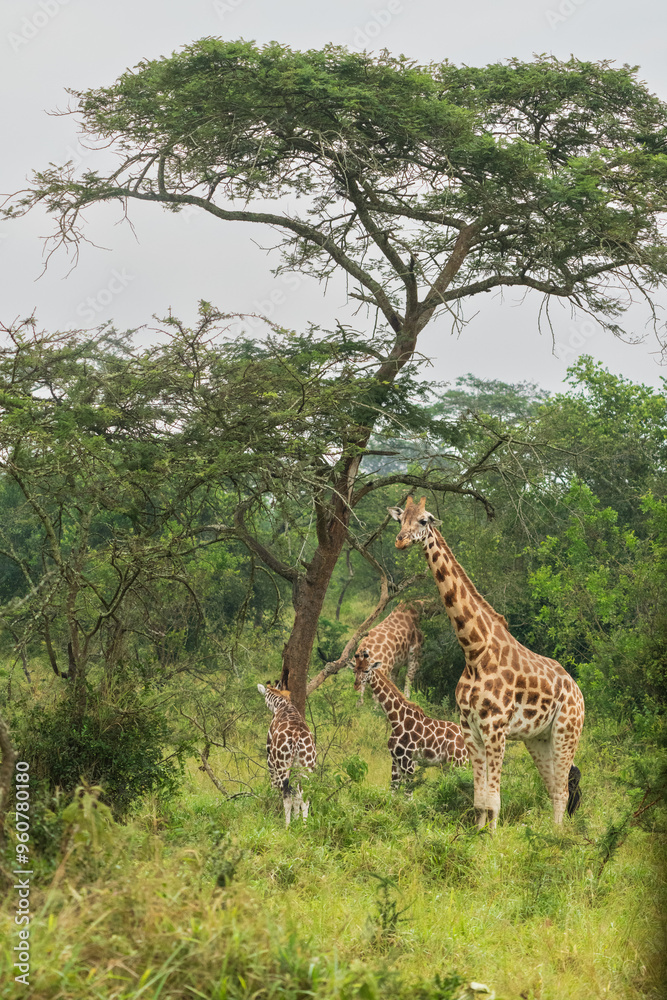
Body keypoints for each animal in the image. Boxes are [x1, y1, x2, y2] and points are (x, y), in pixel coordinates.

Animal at [258, 680, 318, 828]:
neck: (282, 704)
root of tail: (296, 736)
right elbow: (297, 797)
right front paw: (297, 820)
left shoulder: (270, 759)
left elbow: (274, 787)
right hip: (307, 766)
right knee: (304, 796)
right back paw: (304, 826)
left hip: (282, 765)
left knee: (286, 795)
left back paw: (287, 826)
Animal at [352, 660, 468, 792]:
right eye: (354, 670)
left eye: (366, 670)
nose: (356, 685)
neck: (396, 721)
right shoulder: (395, 760)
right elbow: (393, 790)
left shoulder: (408, 762)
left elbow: (408, 793)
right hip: (449, 765)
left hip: (459, 762)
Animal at [392, 496, 584, 832]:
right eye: (400, 519)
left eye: (424, 520)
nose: (401, 541)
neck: (474, 652)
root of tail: (579, 693)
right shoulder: (470, 728)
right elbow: (480, 799)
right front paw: (478, 833)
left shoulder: (495, 728)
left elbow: (494, 799)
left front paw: (492, 839)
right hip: (538, 738)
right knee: (554, 787)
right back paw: (551, 832)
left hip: (567, 729)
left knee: (561, 788)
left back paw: (557, 837)